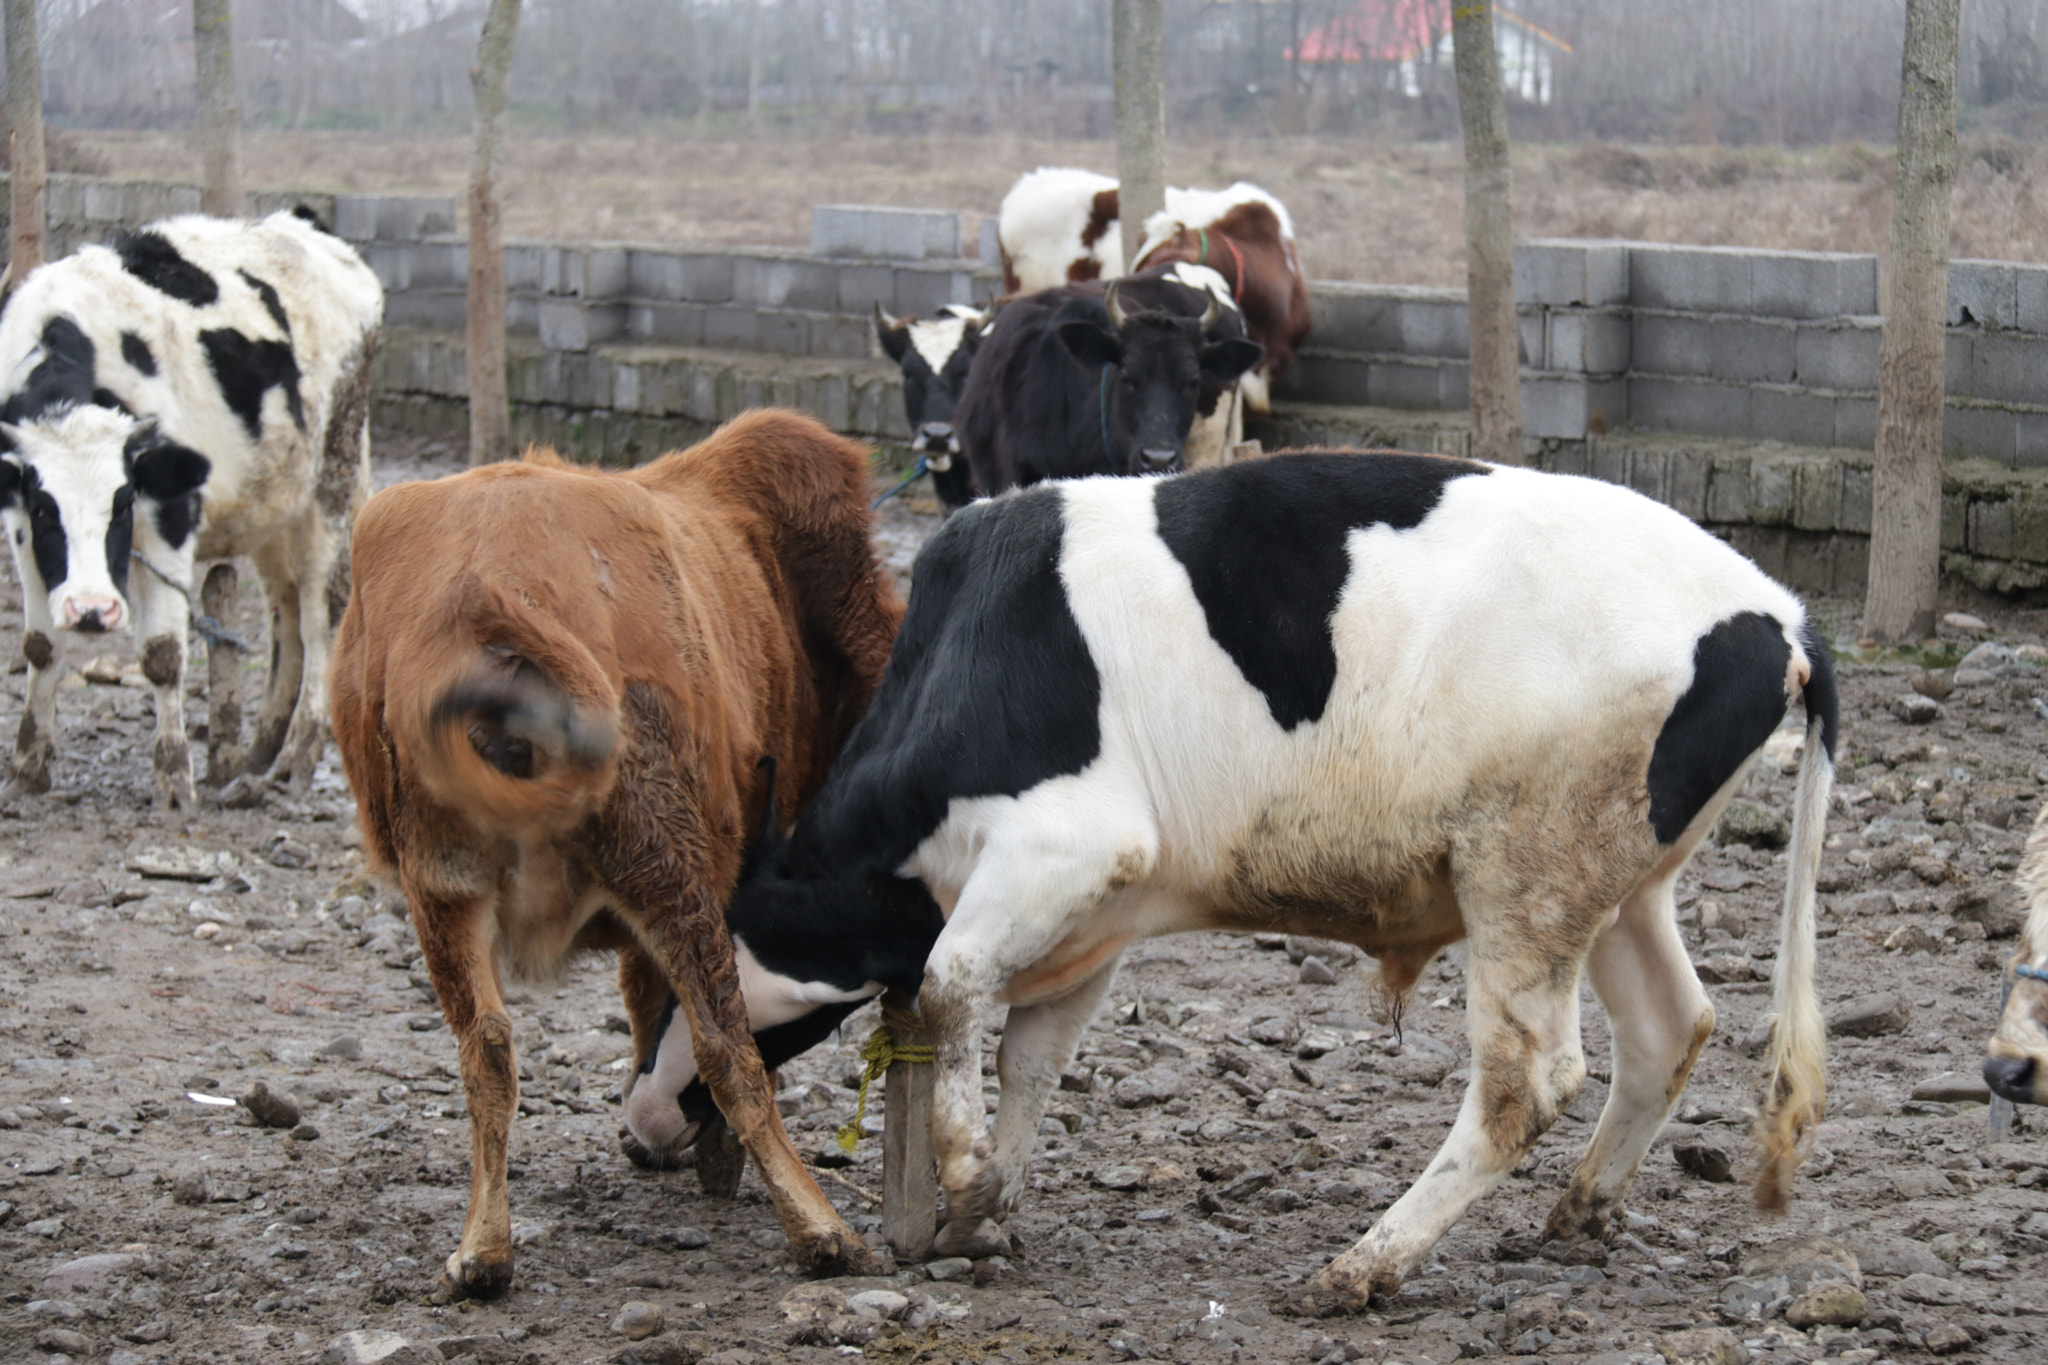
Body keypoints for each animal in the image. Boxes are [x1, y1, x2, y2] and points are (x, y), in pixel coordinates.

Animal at [0, 210, 383, 809]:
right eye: (44, 509)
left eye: (124, 502)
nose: (91, 611)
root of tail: (302, 225)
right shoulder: (17, 522)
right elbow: (39, 645)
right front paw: (27, 765)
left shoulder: (170, 511)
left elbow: (161, 653)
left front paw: (174, 778)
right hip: (273, 502)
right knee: (285, 610)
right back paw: (257, 750)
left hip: (335, 478)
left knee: (322, 614)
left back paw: (296, 757)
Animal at [329, 409, 903, 1298]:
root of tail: (486, 594)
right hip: (664, 861)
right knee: (726, 1046)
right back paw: (822, 1231)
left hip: (445, 888)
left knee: (488, 1047)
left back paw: (482, 1251)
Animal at [709, 451, 1839, 1311]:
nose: (669, 1141)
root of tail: (1778, 611)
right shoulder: (1091, 922)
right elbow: (1028, 1053)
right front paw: (980, 1209)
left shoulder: (1070, 846)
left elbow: (948, 989)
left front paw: (962, 1176)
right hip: (1619, 888)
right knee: (1669, 1027)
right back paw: (1577, 1212)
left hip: (1527, 876)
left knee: (1528, 1082)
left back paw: (1362, 1267)